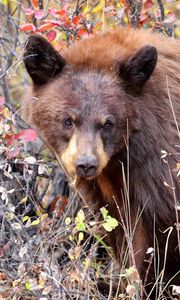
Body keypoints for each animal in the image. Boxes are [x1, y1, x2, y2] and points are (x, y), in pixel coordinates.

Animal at [22, 27, 180, 298]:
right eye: (68, 120)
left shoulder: (161, 170)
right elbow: (118, 228)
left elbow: (157, 237)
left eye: (108, 123)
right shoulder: (107, 190)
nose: (86, 164)